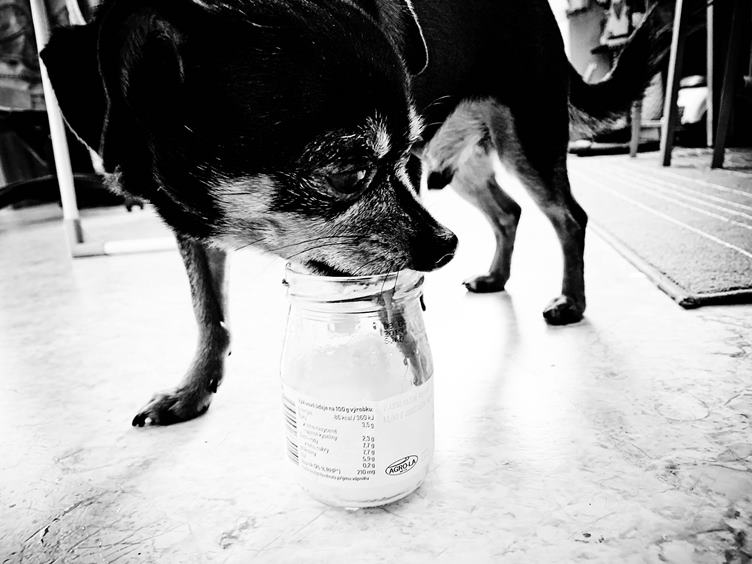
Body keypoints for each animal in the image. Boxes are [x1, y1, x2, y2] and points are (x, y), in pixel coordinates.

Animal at [41, 0, 670, 426]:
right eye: (346, 171)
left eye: (401, 154)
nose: (446, 245)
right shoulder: (194, 231)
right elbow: (208, 315)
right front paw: (192, 389)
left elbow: (391, 305)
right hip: (462, 158)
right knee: (507, 212)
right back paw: (496, 275)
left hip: (524, 135)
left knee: (568, 216)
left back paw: (571, 300)